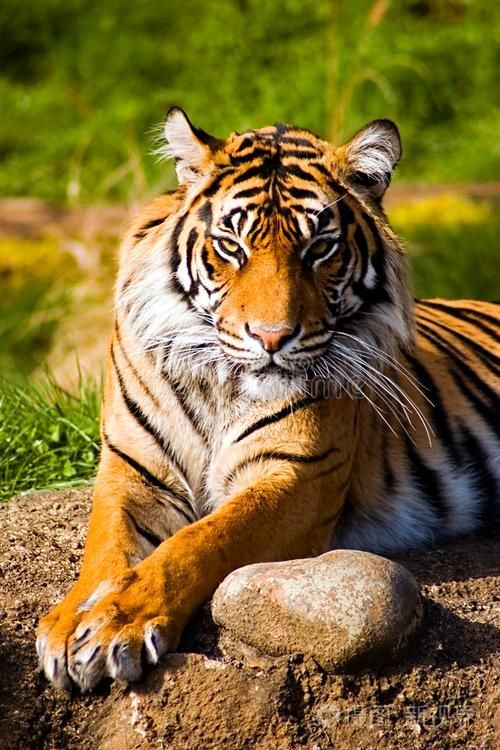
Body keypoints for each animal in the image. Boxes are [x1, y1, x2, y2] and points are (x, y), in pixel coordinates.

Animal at [37, 108, 500, 691]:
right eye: (232, 247)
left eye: (319, 248)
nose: (271, 337)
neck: (219, 384)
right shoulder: (133, 468)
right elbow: (105, 547)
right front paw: (70, 621)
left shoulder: (298, 474)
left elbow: (203, 540)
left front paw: (115, 623)